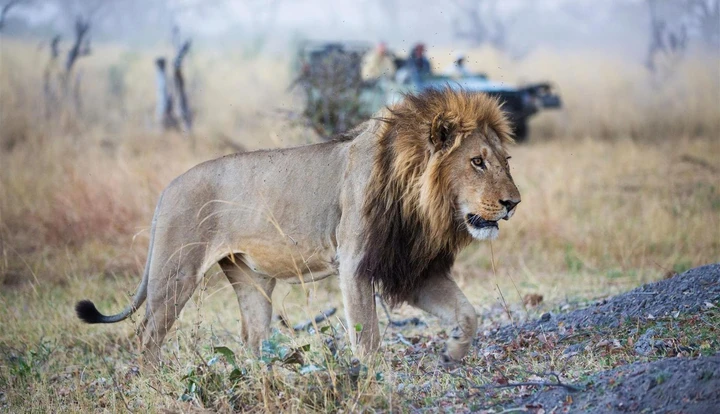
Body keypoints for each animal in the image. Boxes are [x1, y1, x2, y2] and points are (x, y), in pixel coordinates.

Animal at [76, 88, 521, 365]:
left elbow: (468, 313)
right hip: (175, 273)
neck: (420, 202)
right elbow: (368, 338)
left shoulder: (412, 269)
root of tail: (167, 189)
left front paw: (453, 353)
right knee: (147, 336)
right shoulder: (354, 264)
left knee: (251, 337)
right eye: (477, 162)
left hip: (251, 281)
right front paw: (373, 380)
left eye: (505, 161)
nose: (513, 204)